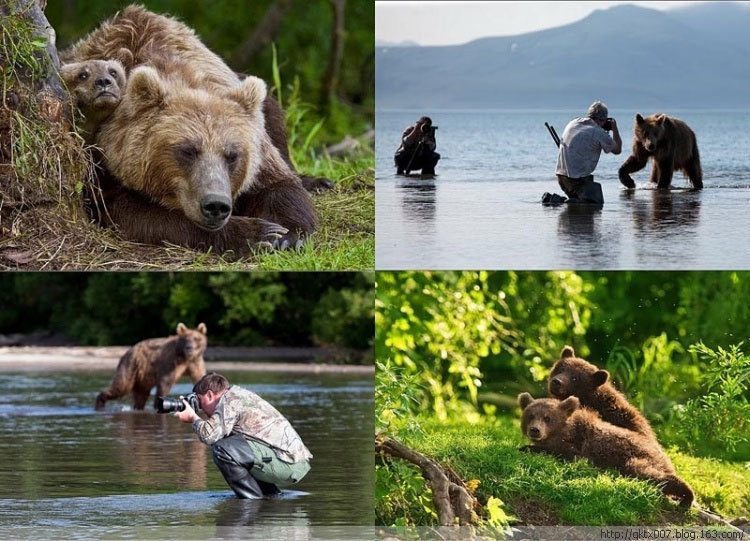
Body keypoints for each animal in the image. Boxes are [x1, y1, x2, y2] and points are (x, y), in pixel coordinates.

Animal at [60, 5, 324, 252]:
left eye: (232, 155)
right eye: (187, 150)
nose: (215, 205)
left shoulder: (259, 151)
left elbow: (279, 186)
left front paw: (288, 235)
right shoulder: (105, 164)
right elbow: (138, 215)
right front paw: (257, 233)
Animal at [520, 390, 696, 508]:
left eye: (547, 418)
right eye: (530, 415)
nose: (535, 430)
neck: (566, 430)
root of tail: (664, 456)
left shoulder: (578, 447)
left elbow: (564, 453)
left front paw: (526, 447)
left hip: (638, 457)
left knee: (649, 473)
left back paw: (686, 496)